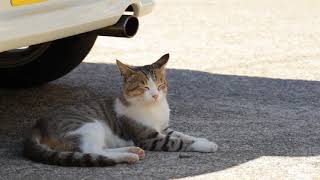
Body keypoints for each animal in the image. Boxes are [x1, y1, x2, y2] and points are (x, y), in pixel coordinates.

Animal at [23, 53, 219, 166]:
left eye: (160, 85)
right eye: (144, 87)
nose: (156, 95)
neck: (154, 109)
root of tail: (37, 125)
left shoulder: (164, 128)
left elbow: (182, 135)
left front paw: (200, 138)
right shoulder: (149, 138)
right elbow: (177, 142)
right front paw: (205, 145)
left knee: (99, 149)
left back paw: (131, 151)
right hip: (88, 126)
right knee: (91, 151)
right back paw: (127, 156)